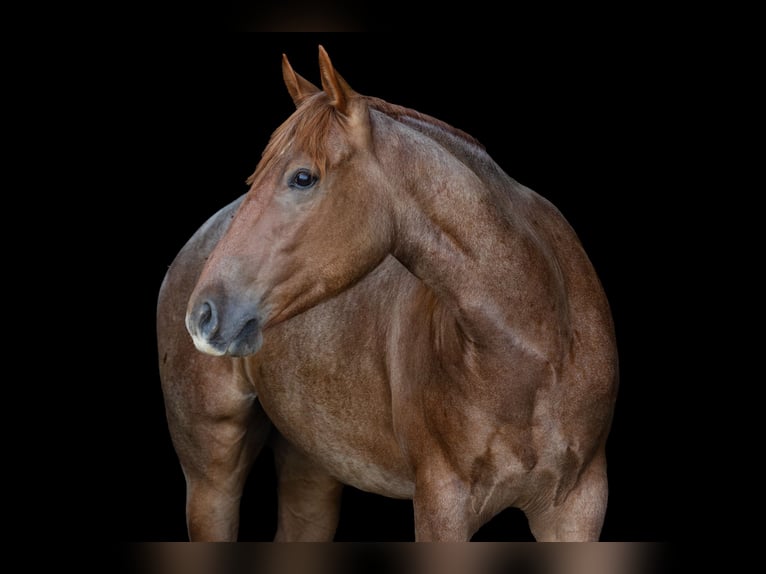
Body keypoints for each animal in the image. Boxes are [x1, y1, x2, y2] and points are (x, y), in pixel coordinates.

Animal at [158, 45, 619, 542]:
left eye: (303, 178)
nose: (203, 315)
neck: (537, 348)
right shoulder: (441, 504)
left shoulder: (577, 506)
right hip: (212, 475)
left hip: (311, 462)